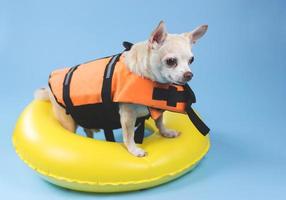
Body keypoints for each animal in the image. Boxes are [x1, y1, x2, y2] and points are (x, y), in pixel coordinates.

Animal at [35, 21, 208, 157]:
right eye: (171, 61)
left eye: (191, 60)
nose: (189, 74)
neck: (149, 79)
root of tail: (49, 90)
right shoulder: (127, 116)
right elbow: (129, 135)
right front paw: (134, 150)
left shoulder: (157, 108)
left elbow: (159, 121)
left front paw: (165, 132)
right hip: (67, 122)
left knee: (88, 131)